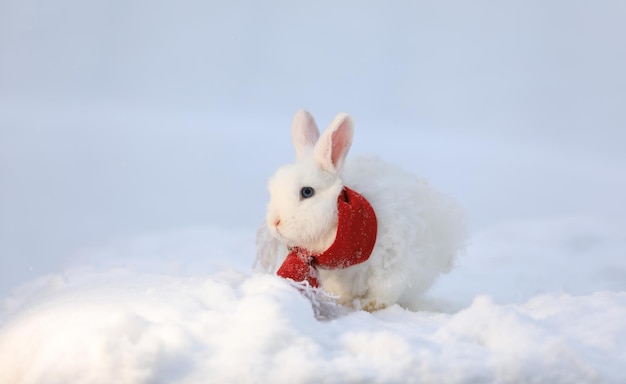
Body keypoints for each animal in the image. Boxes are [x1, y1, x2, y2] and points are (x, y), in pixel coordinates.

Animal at [254, 109, 464, 310]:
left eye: (307, 192)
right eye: (273, 188)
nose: (275, 222)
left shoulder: (391, 264)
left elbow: (385, 291)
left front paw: (370, 305)